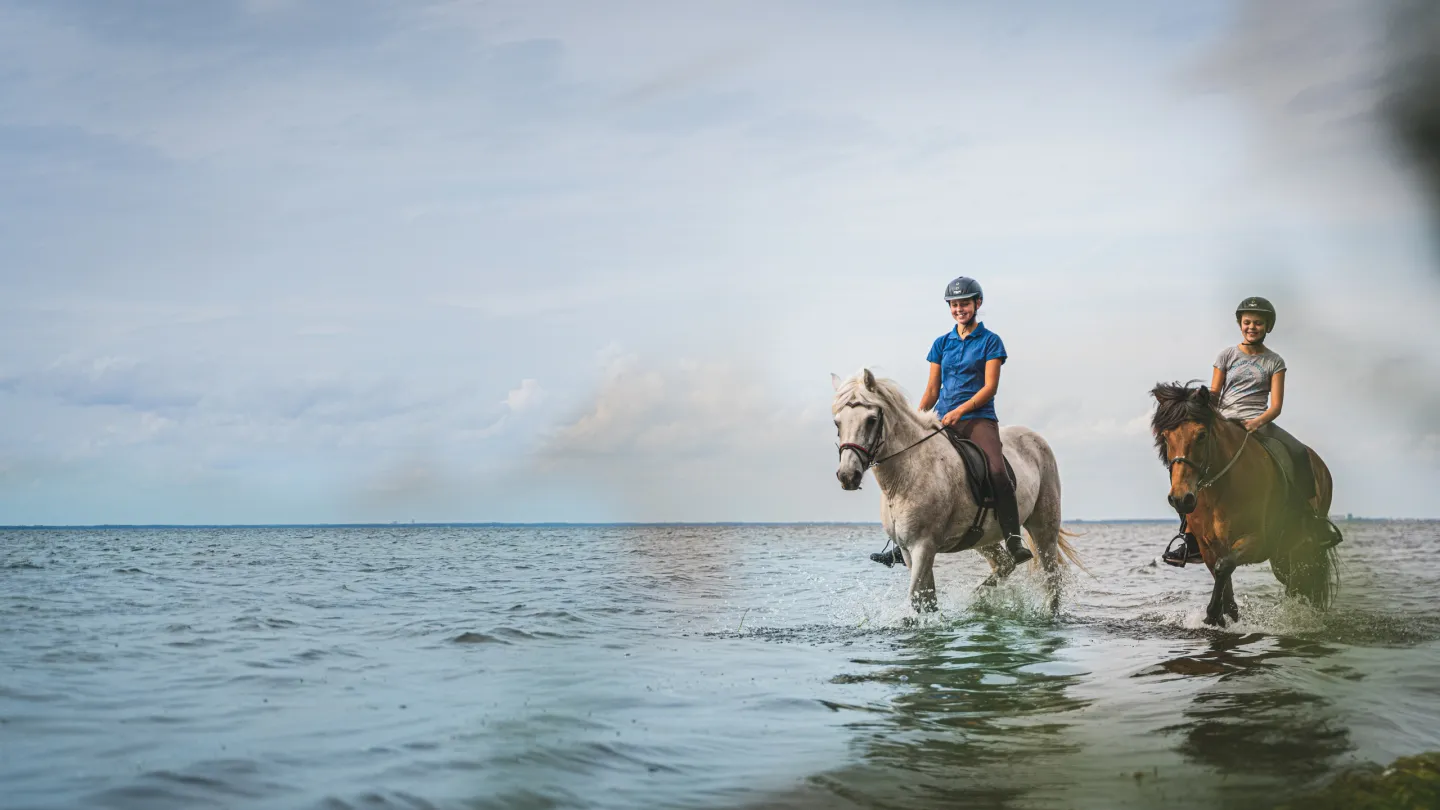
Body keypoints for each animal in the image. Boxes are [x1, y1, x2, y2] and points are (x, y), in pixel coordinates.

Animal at [835, 367, 1082, 611]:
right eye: (838, 423)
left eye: (871, 420)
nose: (847, 475)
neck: (906, 475)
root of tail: (1035, 438)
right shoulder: (908, 550)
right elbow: (928, 599)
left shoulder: (923, 545)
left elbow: (915, 598)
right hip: (982, 537)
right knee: (1005, 564)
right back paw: (978, 597)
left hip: (1044, 527)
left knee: (1051, 579)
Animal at [1146, 380, 1336, 628]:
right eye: (1166, 437)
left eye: (1201, 435)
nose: (1180, 498)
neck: (1220, 490)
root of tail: (1321, 466)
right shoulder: (1208, 548)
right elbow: (1222, 576)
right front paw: (1225, 616)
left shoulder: (1258, 541)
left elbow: (1224, 567)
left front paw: (1212, 615)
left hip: (1297, 546)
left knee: (1302, 581)